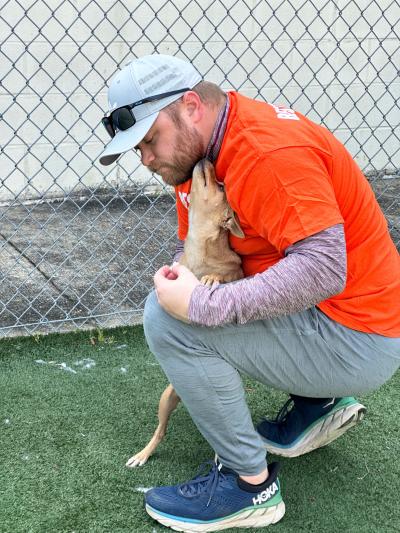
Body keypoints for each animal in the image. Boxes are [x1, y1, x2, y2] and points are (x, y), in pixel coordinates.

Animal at [126, 157, 244, 466]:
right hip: (166, 398)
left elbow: (228, 275)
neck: (199, 247)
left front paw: (213, 278)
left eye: (221, 186)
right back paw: (143, 454)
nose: (207, 158)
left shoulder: (240, 273)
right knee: (161, 431)